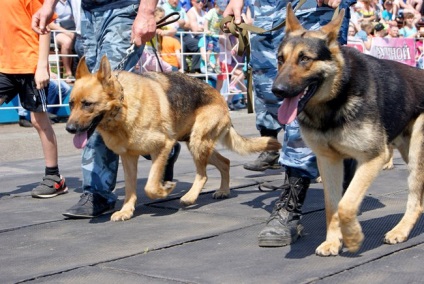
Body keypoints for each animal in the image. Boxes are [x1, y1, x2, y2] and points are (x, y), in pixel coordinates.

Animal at [66, 56, 282, 222]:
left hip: (198, 142)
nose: (69, 128)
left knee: (203, 175)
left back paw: (190, 197)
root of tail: (220, 97)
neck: (123, 105)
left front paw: (165, 189)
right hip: (197, 143)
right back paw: (223, 190)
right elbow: (129, 188)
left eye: (87, 104)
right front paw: (126, 210)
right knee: (225, 162)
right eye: (71, 104)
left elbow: (150, 185)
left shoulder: (163, 147)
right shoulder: (128, 158)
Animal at [272, 4, 424, 256]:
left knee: (415, 200)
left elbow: (347, 204)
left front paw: (352, 238)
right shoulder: (329, 161)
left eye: (304, 59)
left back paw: (400, 231)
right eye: (280, 59)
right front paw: (333, 242)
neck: (334, 98)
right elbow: (332, 206)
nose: (277, 90)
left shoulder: (372, 158)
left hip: (415, 156)